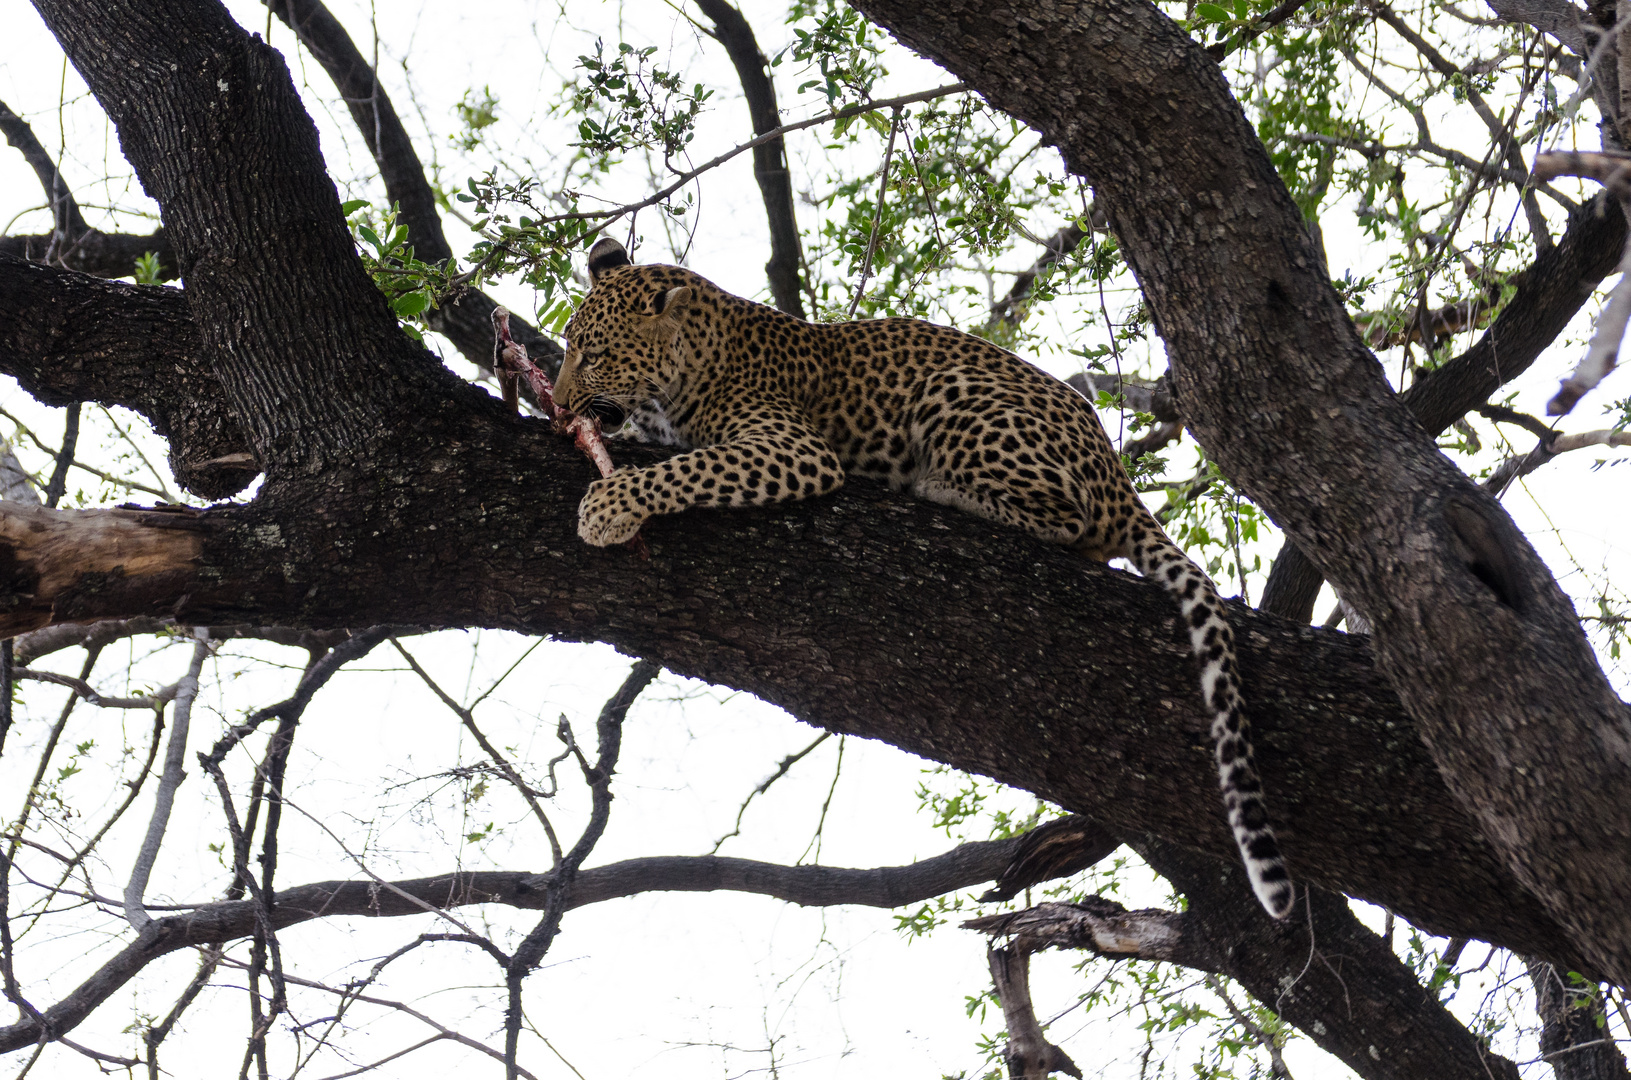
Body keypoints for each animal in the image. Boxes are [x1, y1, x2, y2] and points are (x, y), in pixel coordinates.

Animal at [554, 233, 1291, 920]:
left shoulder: (795, 448)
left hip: (958, 397)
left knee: (1067, 517)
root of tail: (1117, 476)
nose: (560, 405)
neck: (694, 356)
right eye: (565, 349)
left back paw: (937, 488)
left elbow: (690, 468)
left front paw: (608, 507)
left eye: (592, 353)